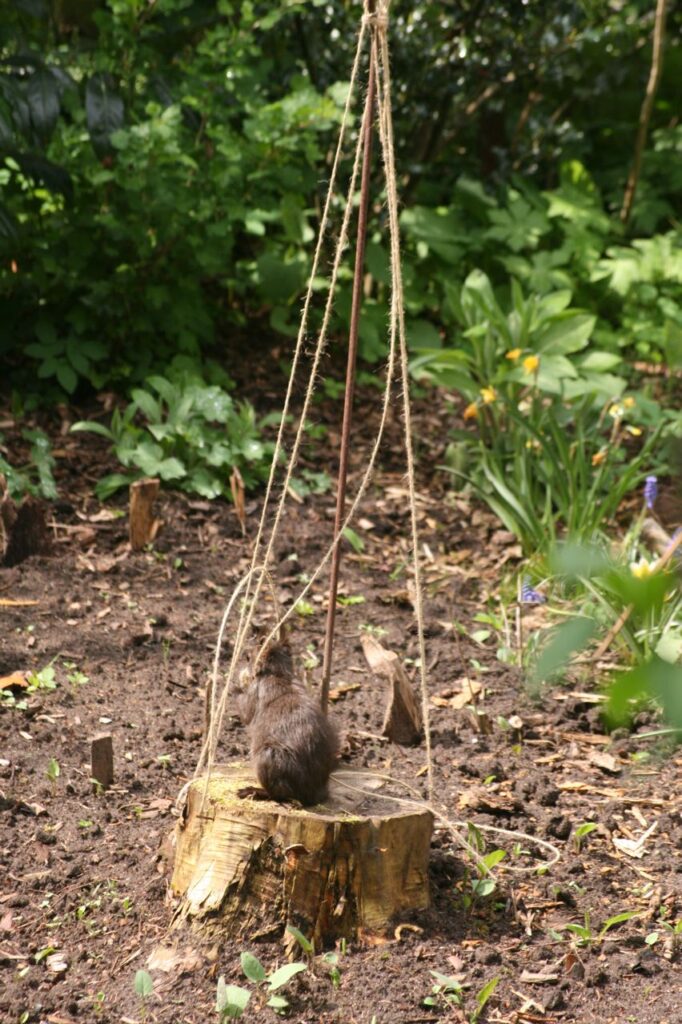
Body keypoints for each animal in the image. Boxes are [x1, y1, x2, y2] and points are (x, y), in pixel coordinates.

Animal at [238, 634, 339, 806]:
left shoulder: (255, 692)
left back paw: (252, 791)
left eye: (248, 657)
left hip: (268, 757)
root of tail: (312, 794)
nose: (246, 650)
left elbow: (245, 713)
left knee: (279, 795)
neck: (279, 672)